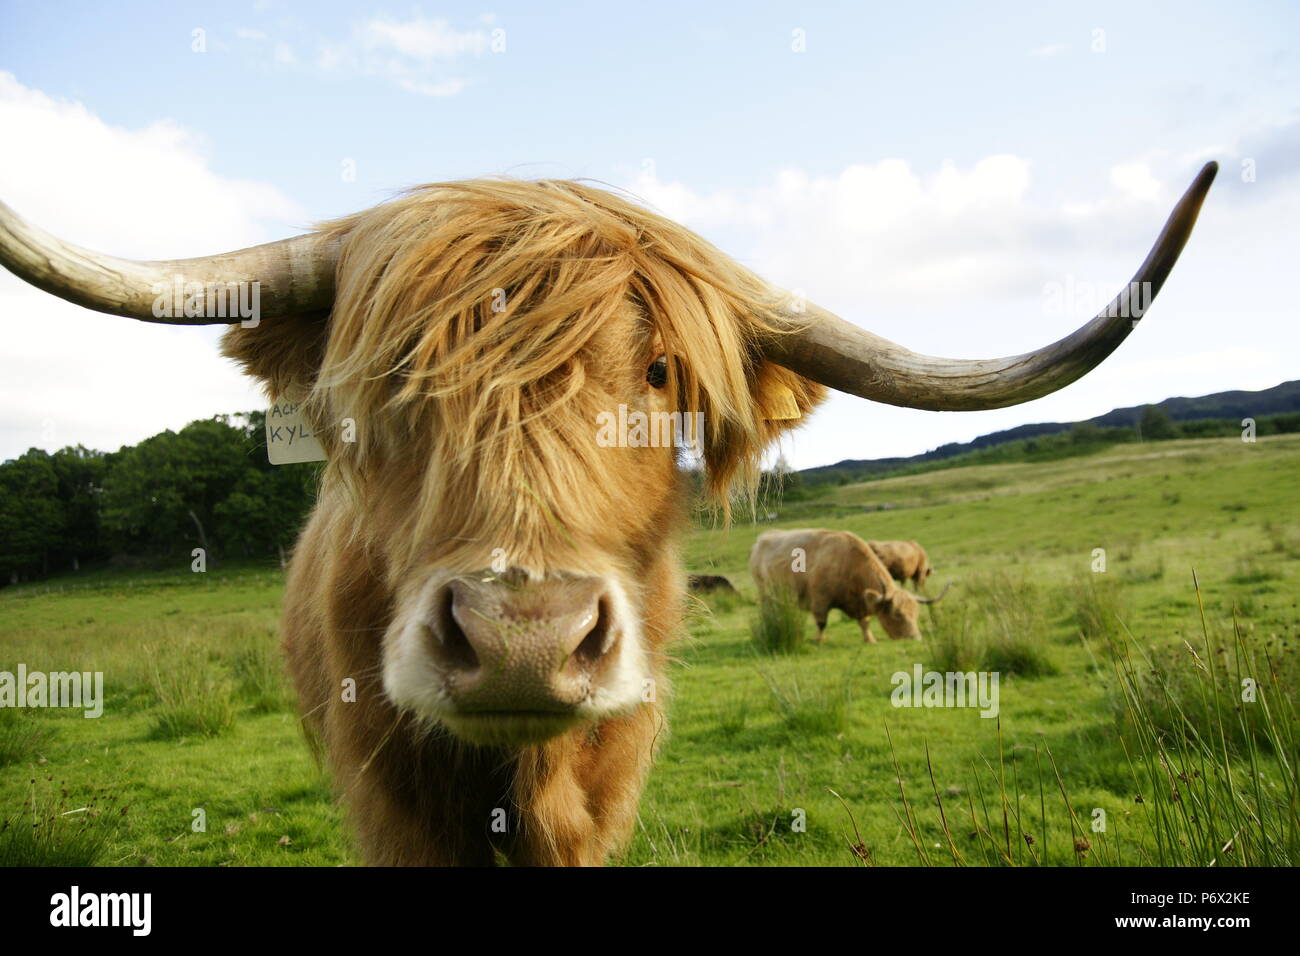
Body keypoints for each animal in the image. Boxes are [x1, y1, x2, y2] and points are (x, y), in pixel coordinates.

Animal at [754, 530, 946, 642]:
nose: (916, 637)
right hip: (764, 593)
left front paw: (869, 639)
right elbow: (821, 622)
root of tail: (765, 536)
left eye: (916, 613)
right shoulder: (820, 600)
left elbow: (865, 622)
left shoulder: (860, 603)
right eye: (897, 614)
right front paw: (819, 640)